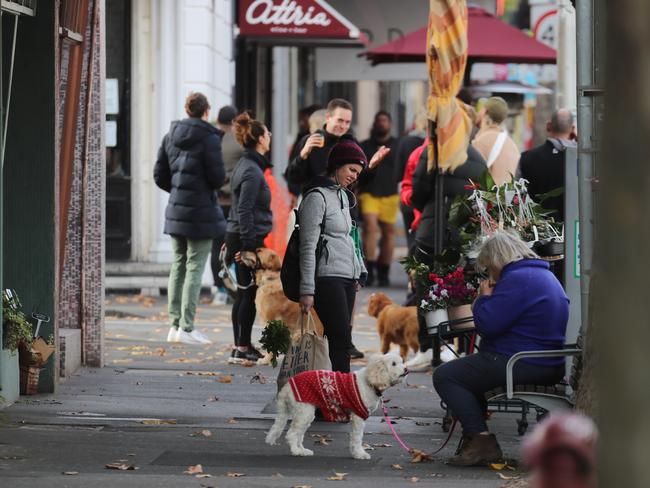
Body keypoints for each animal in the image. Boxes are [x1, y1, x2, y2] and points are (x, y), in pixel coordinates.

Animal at [264, 352, 404, 460]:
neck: (370, 380)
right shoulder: (359, 415)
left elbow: (353, 437)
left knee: (298, 434)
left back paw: (302, 450)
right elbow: (357, 437)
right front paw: (360, 454)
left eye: (402, 362)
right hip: (304, 412)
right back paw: (296, 451)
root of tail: (286, 387)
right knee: (292, 434)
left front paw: (355, 453)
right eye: (393, 364)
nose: (406, 369)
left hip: (305, 413)